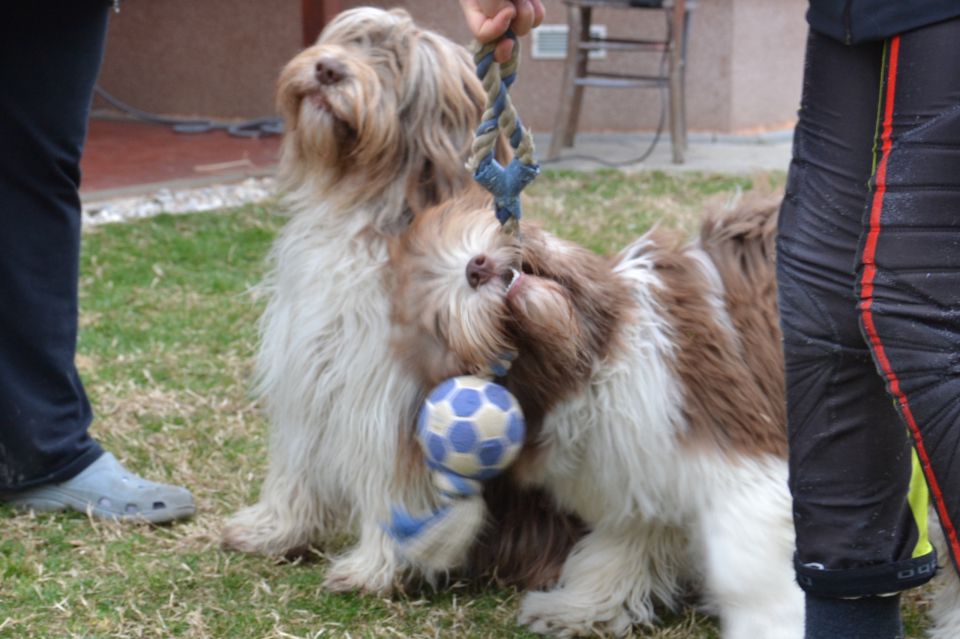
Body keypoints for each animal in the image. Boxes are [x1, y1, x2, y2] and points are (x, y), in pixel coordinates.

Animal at [219, 6, 576, 596]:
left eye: (396, 64)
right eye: (351, 40)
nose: (328, 69)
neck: (366, 206)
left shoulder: (390, 393)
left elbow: (392, 480)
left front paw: (378, 567)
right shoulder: (307, 367)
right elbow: (296, 458)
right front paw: (276, 529)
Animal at [388, 191, 804, 639]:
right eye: (438, 318)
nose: (476, 266)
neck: (588, 362)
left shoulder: (731, 446)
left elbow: (745, 554)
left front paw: (771, 623)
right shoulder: (642, 468)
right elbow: (626, 542)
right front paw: (579, 607)